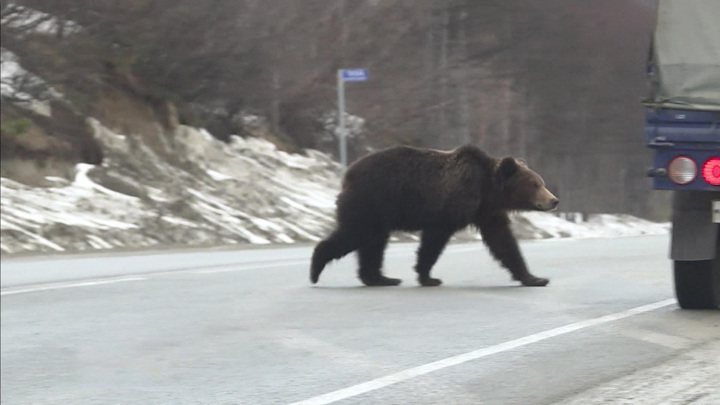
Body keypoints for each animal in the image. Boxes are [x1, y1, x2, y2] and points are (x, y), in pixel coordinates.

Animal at [310, 144, 556, 286]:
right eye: (535, 184)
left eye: (541, 182)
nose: (554, 200)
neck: (486, 189)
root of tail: (348, 174)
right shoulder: (448, 207)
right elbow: (433, 241)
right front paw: (428, 277)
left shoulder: (487, 212)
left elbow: (504, 242)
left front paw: (534, 278)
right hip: (371, 202)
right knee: (356, 234)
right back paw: (316, 267)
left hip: (379, 213)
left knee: (373, 243)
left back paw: (380, 278)